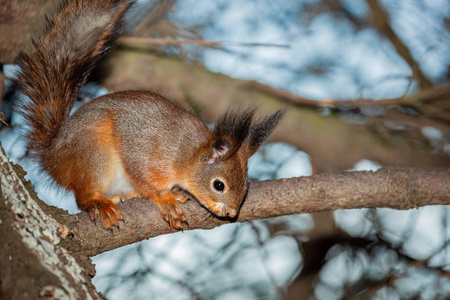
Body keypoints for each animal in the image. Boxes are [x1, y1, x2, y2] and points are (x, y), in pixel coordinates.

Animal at [16, 0, 284, 230]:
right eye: (219, 185)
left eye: (246, 186)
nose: (231, 213)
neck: (186, 154)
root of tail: (52, 157)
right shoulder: (147, 153)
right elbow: (144, 177)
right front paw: (165, 199)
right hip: (93, 151)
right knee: (82, 196)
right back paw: (99, 203)